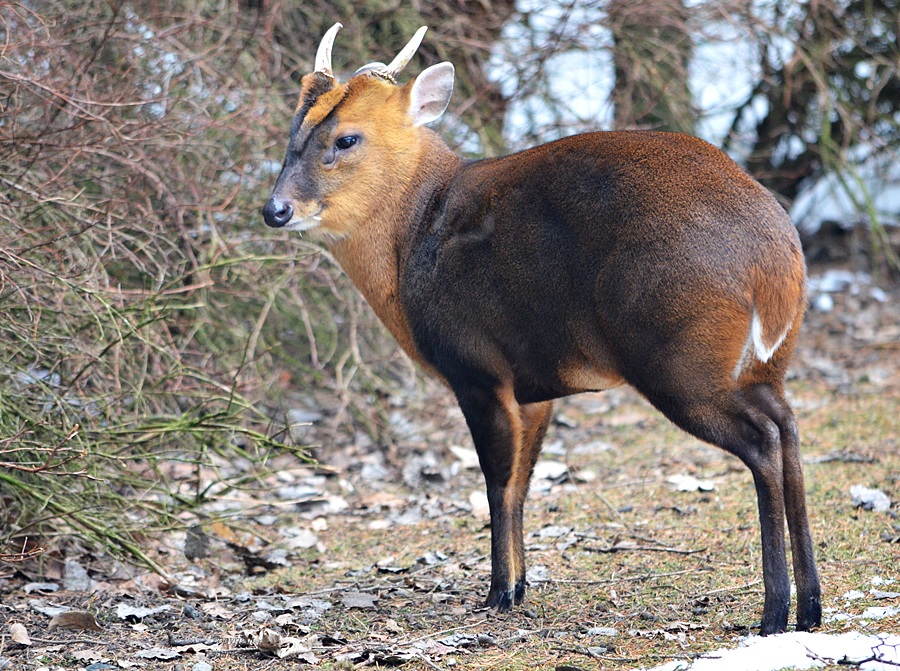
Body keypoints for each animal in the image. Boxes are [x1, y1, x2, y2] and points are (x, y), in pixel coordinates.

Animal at [262, 25, 824, 636]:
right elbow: (523, 482)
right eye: (294, 128)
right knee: (789, 428)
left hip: (680, 360)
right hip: (763, 366)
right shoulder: (535, 388)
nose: (276, 210)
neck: (413, 237)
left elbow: (497, 479)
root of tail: (775, 262)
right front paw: (521, 585)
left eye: (346, 139)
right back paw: (811, 607)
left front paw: (498, 593)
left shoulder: (477, 369)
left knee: (763, 441)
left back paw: (774, 614)